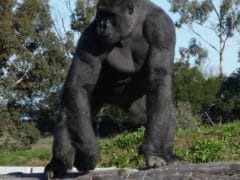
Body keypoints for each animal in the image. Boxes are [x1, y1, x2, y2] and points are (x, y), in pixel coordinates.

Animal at [44, 0, 176, 177]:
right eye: (100, 15)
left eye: (111, 15)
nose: (102, 25)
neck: (133, 25)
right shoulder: (90, 36)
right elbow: (79, 85)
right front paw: (89, 153)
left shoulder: (161, 27)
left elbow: (158, 81)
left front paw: (152, 153)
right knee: (69, 110)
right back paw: (57, 164)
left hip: (134, 102)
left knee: (164, 113)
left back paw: (168, 156)